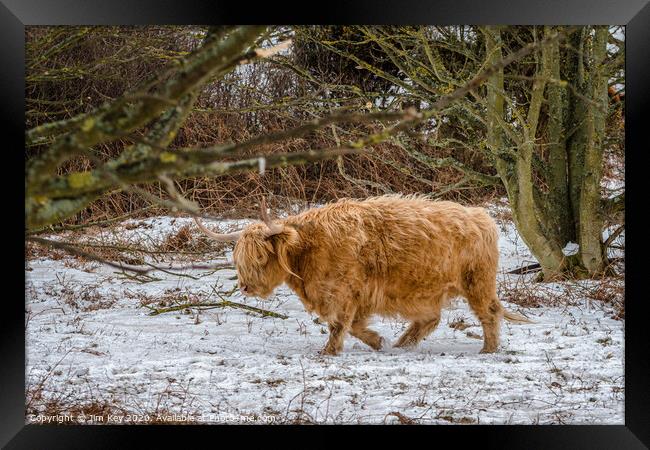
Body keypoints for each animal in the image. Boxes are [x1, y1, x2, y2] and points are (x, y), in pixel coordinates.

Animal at [195, 195, 528, 356]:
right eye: (239, 259)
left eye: (261, 257)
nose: (245, 287)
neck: (307, 250)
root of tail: (481, 217)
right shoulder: (355, 296)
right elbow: (353, 325)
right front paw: (378, 341)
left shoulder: (344, 292)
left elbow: (340, 324)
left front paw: (329, 352)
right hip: (427, 289)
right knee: (430, 319)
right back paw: (403, 344)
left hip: (477, 282)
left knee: (488, 312)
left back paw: (488, 349)